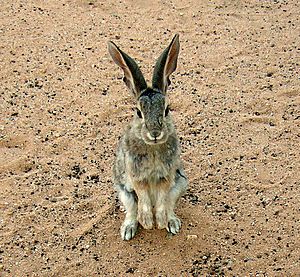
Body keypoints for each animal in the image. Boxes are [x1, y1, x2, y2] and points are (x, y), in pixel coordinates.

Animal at [108, 33, 188, 238]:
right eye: (138, 112)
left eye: (167, 110)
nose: (155, 134)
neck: (152, 147)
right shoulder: (135, 177)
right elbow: (142, 197)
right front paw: (147, 222)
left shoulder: (167, 176)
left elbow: (162, 199)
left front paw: (158, 222)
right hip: (124, 191)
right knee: (132, 209)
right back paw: (128, 229)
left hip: (180, 184)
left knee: (169, 204)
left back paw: (171, 223)